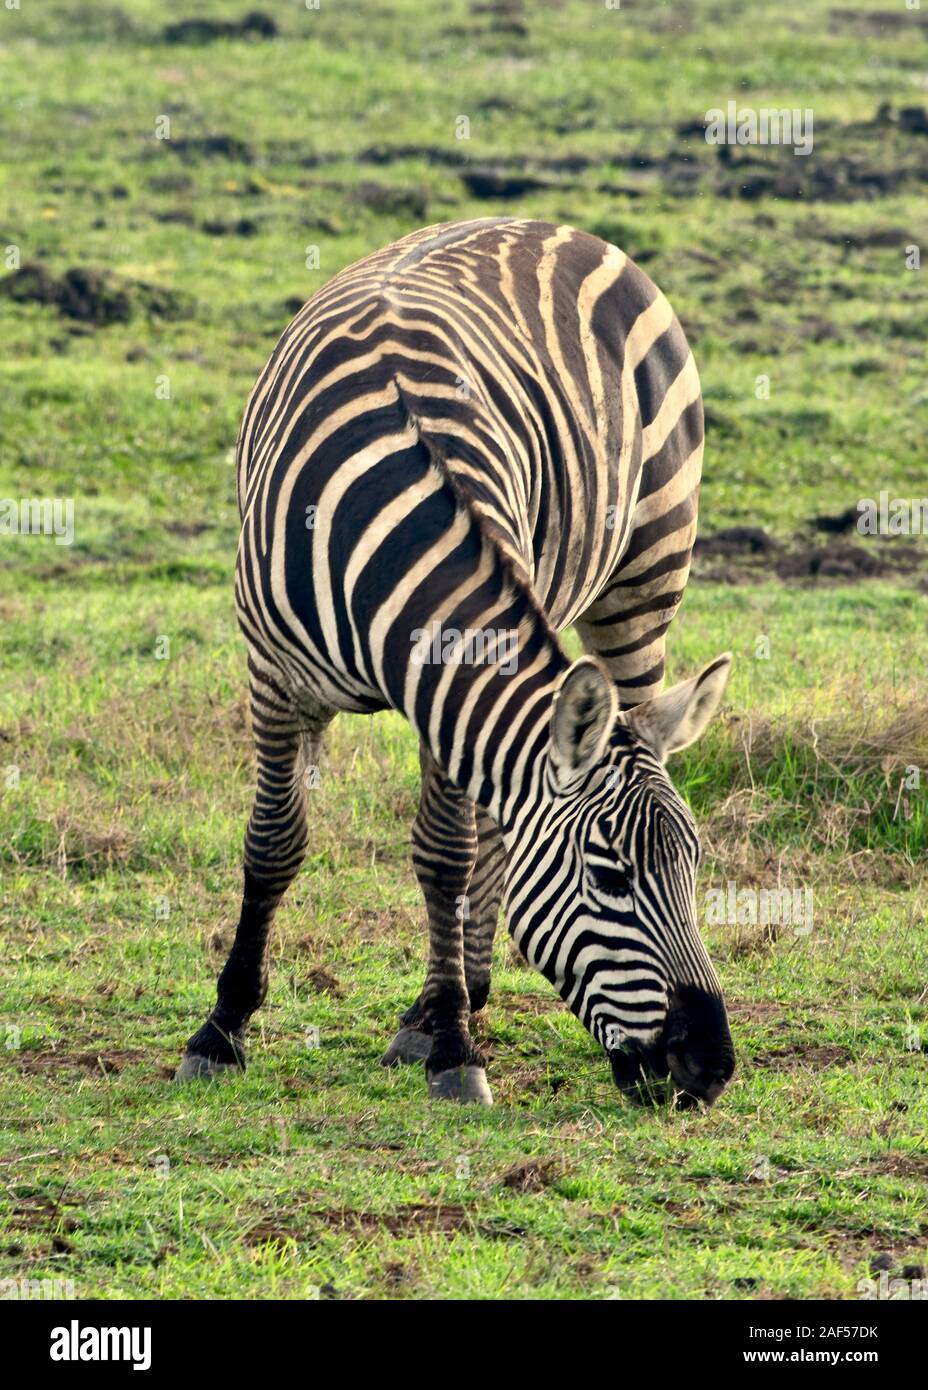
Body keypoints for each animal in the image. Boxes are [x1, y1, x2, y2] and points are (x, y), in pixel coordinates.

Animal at [177, 216, 733, 1106]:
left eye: (694, 865)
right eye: (610, 877)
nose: (709, 1070)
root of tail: (556, 226)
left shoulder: (449, 687)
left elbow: (446, 857)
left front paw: (450, 1043)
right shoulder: (272, 674)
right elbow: (272, 842)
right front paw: (222, 1027)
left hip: (647, 568)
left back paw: (455, 998)